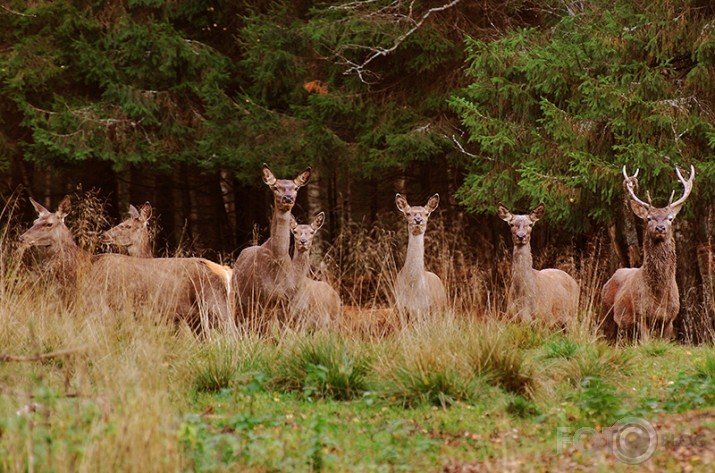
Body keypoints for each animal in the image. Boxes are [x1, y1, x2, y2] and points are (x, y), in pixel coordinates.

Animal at [19, 195, 235, 332]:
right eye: (34, 222)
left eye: (49, 224)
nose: (22, 238)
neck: (82, 270)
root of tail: (225, 272)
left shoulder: (102, 307)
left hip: (217, 306)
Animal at [232, 162, 310, 320]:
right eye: (275, 187)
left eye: (296, 188)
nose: (288, 198)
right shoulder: (261, 297)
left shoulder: (286, 301)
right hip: (239, 297)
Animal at [600, 164, 696, 342]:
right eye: (649, 218)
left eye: (670, 218)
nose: (660, 228)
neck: (659, 295)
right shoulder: (641, 315)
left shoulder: (670, 318)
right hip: (606, 312)